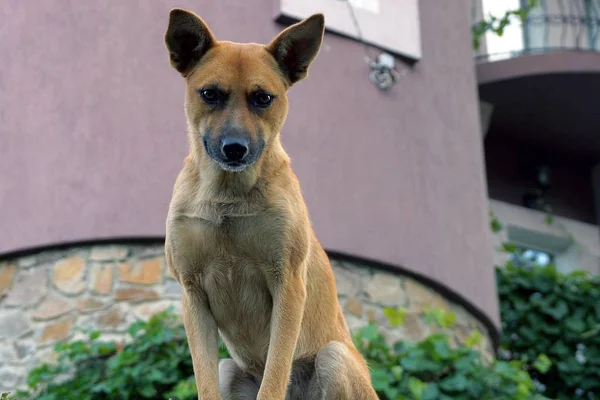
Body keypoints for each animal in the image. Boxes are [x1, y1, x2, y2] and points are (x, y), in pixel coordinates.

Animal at [163, 9, 380, 400]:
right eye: (210, 94)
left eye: (263, 98)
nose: (235, 149)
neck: (228, 197)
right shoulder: (193, 294)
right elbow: (203, 379)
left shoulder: (287, 284)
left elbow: (276, 373)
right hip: (229, 369)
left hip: (334, 358)